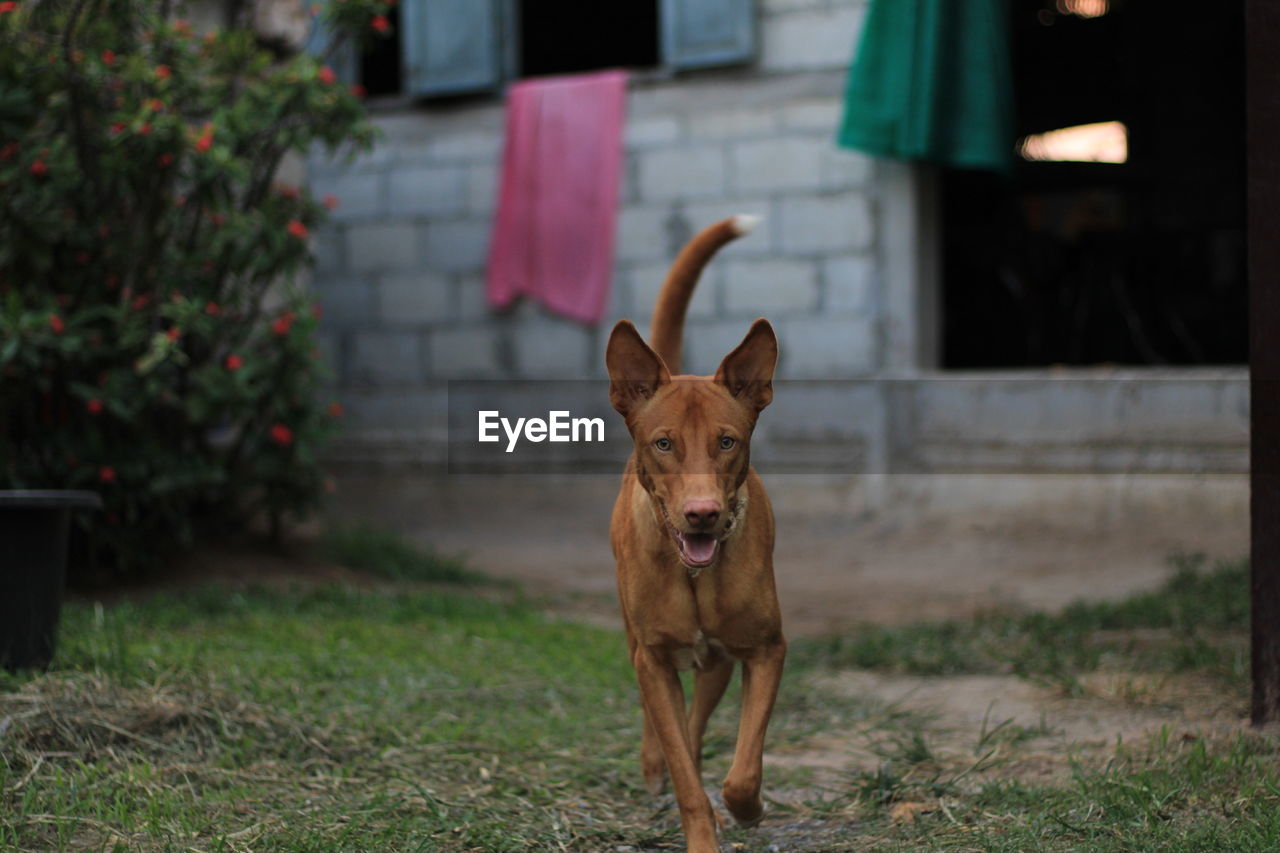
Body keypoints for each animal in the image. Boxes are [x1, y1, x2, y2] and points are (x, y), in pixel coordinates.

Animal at [604, 213, 783, 850]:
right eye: (664, 444)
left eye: (727, 441)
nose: (702, 513)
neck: (693, 573)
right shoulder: (653, 660)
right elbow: (683, 771)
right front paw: (699, 828)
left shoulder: (765, 650)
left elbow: (741, 769)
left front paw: (747, 809)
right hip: (635, 639)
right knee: (668, 727)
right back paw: (653, 763)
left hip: (717, 663)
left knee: (699, 721)